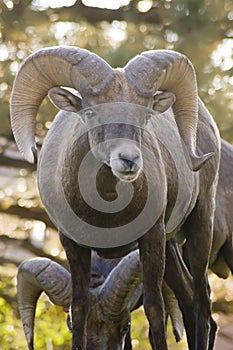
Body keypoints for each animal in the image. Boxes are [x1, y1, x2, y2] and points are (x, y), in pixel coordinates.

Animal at [10, 47, 220, 350]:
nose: (128, 159)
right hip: (171, 247)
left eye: (145, 116)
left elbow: (155, 308)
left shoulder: (151, 238)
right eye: (89, 112)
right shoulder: (72, 244)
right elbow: (80, 307)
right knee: (190, 300)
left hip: (199, 226)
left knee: (202, 301)